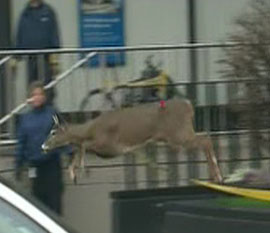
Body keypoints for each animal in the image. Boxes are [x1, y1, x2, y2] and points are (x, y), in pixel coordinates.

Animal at [42, 98, 223, 182]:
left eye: (53, 132)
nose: (43, 146)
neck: (90, 129)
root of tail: (188, 105)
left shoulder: (109, 145)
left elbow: (82, 146)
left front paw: (81, 168)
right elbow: (77, 149)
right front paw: (73, 174)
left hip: (178, 134)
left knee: (206, 140)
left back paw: (218, 176)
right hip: (180, 134)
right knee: (206, 137)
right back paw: (216, 176)